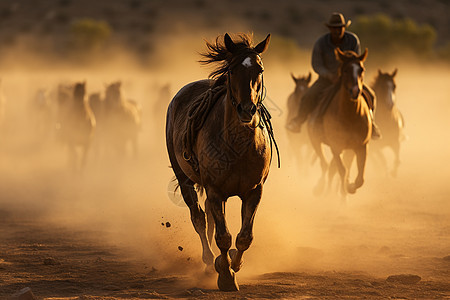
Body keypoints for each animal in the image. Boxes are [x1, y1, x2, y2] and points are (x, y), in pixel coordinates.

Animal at [164, 33, 272, 290]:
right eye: (232, 70)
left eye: (260, 69)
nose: (247, 109)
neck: (238, 147)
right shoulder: (215, 191)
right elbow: (222, 236)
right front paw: (225, 275)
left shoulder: (254, 191)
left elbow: (244, 237)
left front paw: (235, 264)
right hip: (184, 179)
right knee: (199, 219)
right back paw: (207, 260)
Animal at [310, 48, 372, 198]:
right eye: (345, 70)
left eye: (361, 69)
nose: (355, 91)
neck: (350, 116)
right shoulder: (335, 146)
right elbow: (342, 171)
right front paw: (343, 193)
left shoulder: (361, 146)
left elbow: (359, 178)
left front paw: (350, 187)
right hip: (316, 141)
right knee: (325, 165)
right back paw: (321, 188)